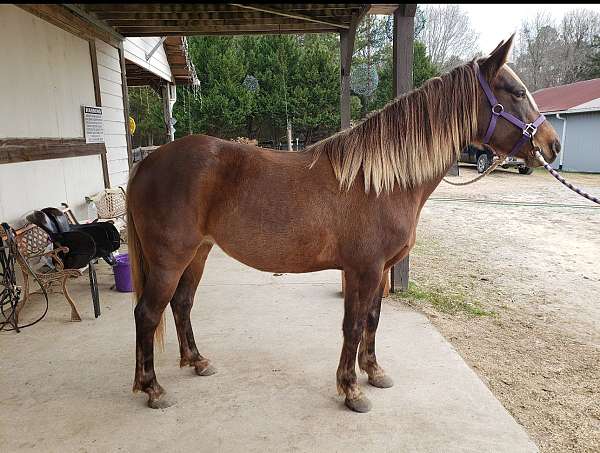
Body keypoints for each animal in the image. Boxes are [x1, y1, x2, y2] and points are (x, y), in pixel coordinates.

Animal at [126, 34, 564, 410]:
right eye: (517, 92)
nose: (552, 144)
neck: (381, 181)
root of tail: (148, 161)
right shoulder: (363, 270)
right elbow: (352, 326)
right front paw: (351, 390)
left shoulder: (379, 271)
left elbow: (372, 319)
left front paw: (374, 372)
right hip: (169, 260)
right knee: (148, 314)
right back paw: (152, 388)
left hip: (197, 253)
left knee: (181, 305)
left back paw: (197, 361)